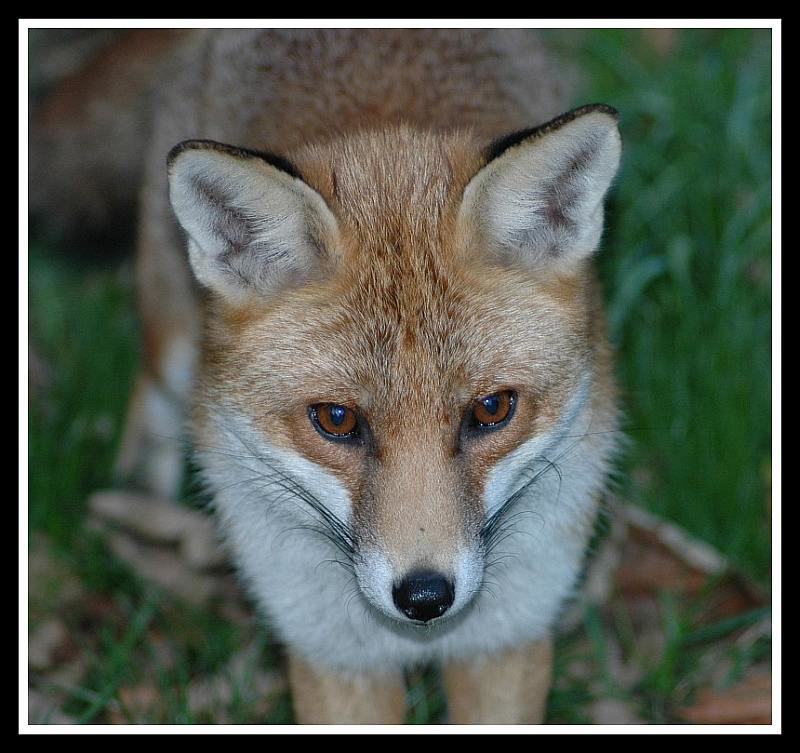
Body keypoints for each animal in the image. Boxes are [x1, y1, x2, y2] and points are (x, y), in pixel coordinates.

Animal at [36, 27, 624, 724]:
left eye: (491, 409)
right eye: (337, 419)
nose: (425, 596)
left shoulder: (507, 640)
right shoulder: (333, 656)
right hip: (171, 333)